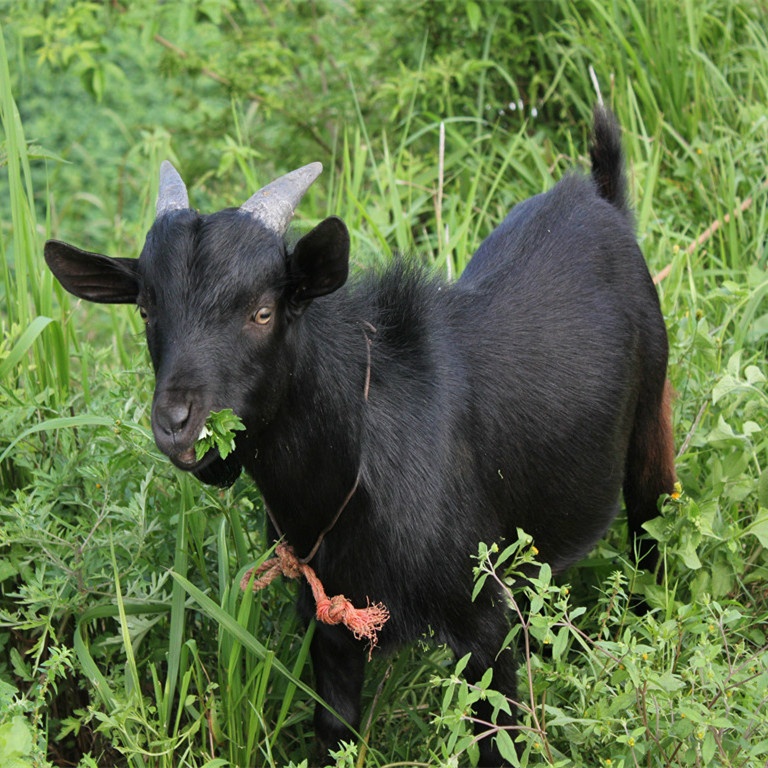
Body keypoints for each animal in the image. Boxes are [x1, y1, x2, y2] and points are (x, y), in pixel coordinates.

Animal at [45, 106, 676, 760]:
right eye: (146, 309)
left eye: (263, 310)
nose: (176, 424)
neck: (356, 458)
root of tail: (599, 197)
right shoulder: (331, 619)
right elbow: (334, 727)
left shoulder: (480, 616)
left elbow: (497, 732)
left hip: (651, 426)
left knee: (650, 534)